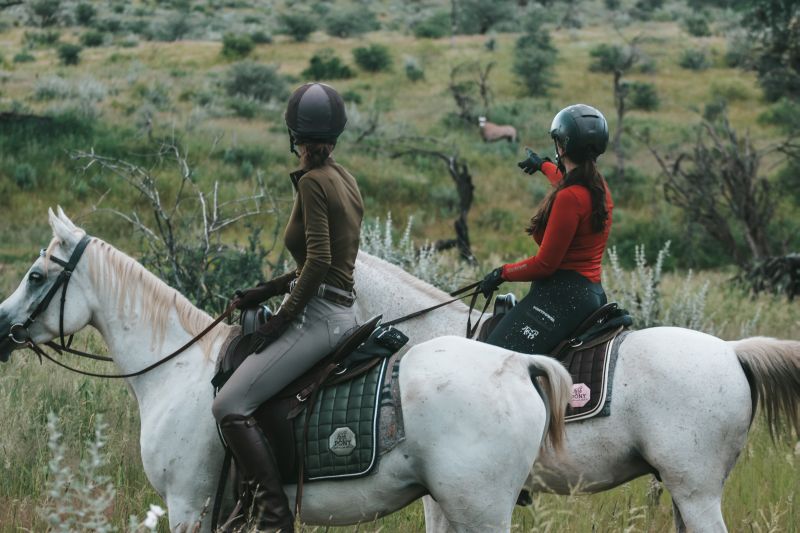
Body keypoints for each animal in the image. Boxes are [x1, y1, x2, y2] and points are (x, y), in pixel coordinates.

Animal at [0, 209, 576, 532]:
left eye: (35, 277)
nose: (2, 326)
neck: (175, 369)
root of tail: (518, 362)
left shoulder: (188, 504)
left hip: (478, 509)